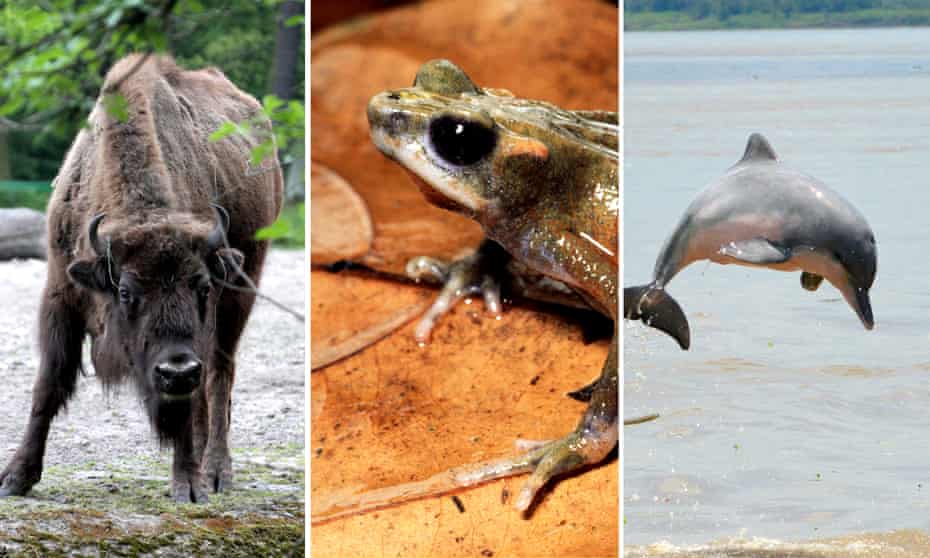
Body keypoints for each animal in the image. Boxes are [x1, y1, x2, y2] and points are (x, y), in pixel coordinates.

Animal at [0, 54, 283, 503]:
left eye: (202, 285)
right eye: (126, 291)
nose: (177, 370)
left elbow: (190, 397)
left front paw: (189, 485)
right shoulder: (60, 294)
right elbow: (48, 384)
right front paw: (16, 477)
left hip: (242, 289)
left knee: (220, 374)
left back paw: (215, 470)